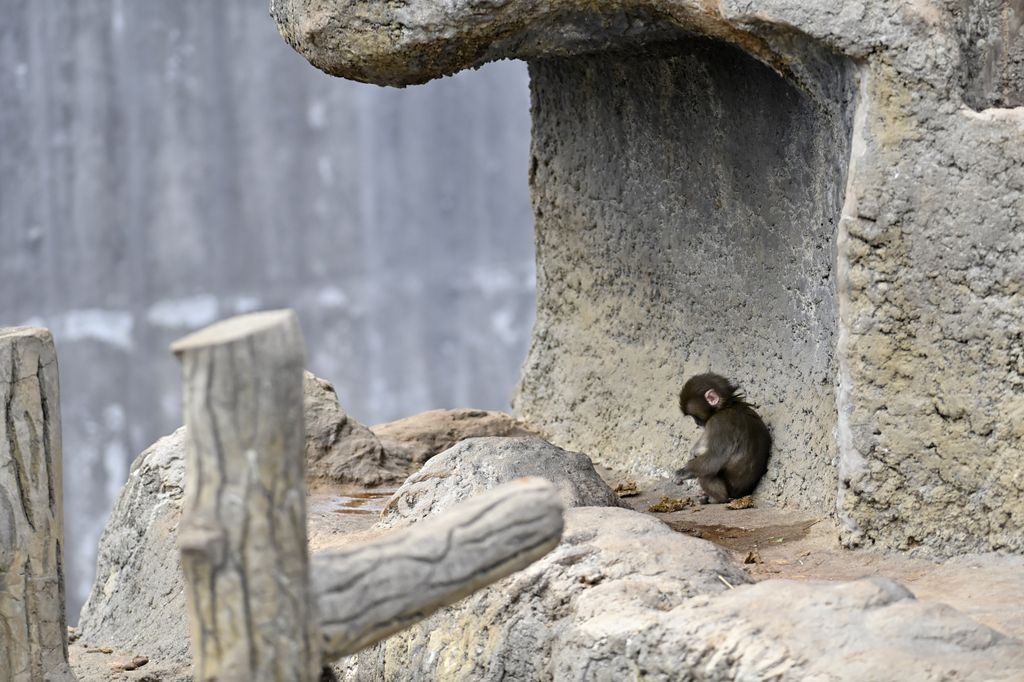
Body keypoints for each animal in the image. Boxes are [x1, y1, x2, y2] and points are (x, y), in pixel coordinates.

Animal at [673, 373, 771, 503]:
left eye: (694, 416)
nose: (696, 422)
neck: (727, 406)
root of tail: (740, 495)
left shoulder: (719, 422)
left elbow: (713, 459)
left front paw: (681, 473)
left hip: (727, 491)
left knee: (706, 472)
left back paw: (715, 498)